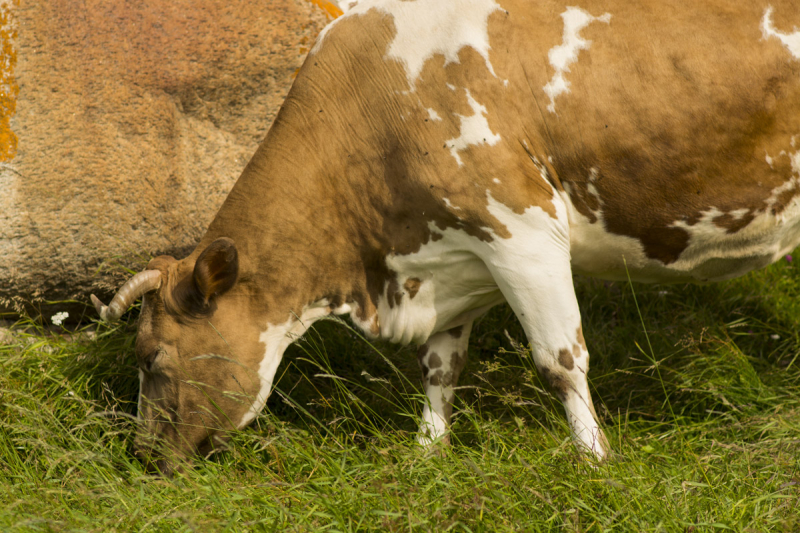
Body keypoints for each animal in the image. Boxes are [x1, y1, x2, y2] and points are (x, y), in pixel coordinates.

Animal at [95, 1, 800, 474]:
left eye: (150, 356)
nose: (142, 456)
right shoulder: (453, 254)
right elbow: (439, 365)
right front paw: (428, 452)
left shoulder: (522, 232)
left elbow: (560, 361)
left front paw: (595, 460)